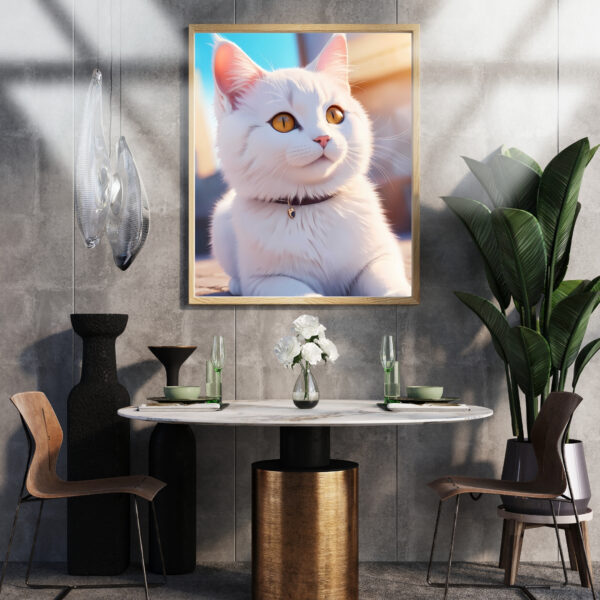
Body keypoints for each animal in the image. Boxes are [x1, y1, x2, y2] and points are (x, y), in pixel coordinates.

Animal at [209, 33, 410, 298]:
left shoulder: (381, 255)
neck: (311, 206)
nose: (323, 138)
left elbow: (386, 278)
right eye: (283, 122)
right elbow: (304, 296)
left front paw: (397, 293)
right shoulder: (268, 280)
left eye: (334, 115)